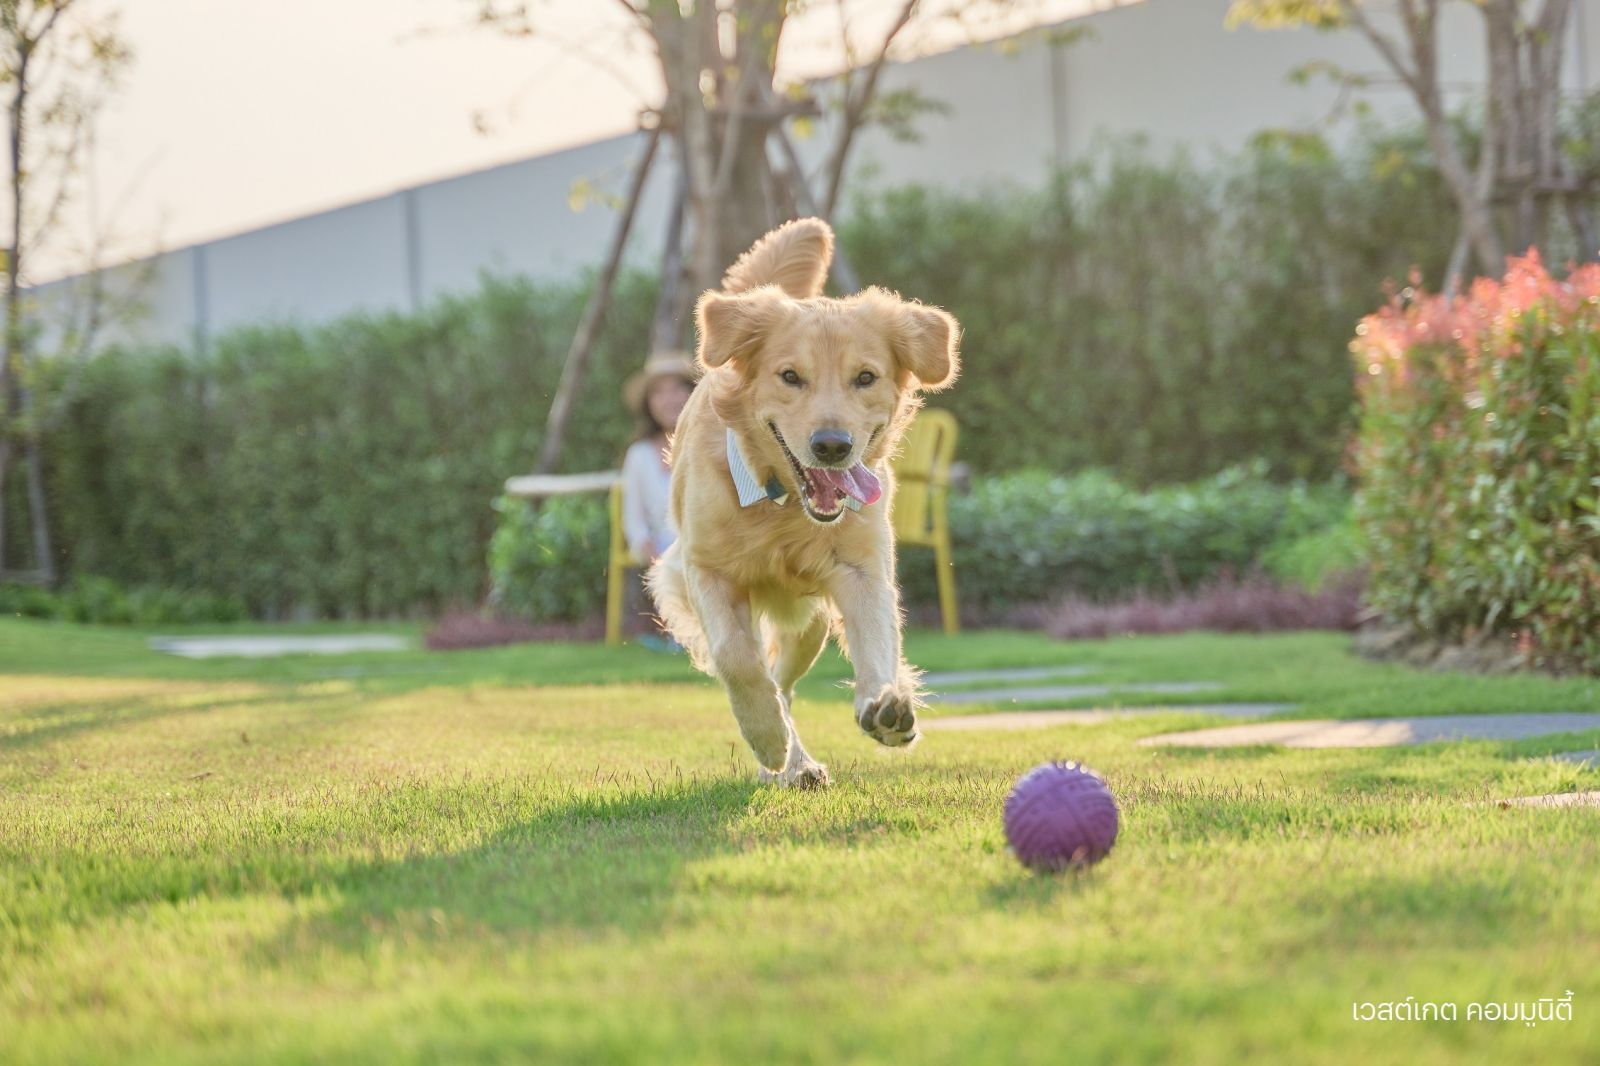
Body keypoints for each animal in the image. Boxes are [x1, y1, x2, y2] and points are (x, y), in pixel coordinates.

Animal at [649, 217, 960, 781]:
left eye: (866, 377)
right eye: (790, 376)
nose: (832, 446)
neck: (785, 504)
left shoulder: (861, 569)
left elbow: (878, 640)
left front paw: (887, 707)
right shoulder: (703, 569)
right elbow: (735, 657)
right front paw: (766, 736)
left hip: (808, 623)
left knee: (786, 680)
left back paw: (801, 762)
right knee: (765, 670)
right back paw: (784, 756)